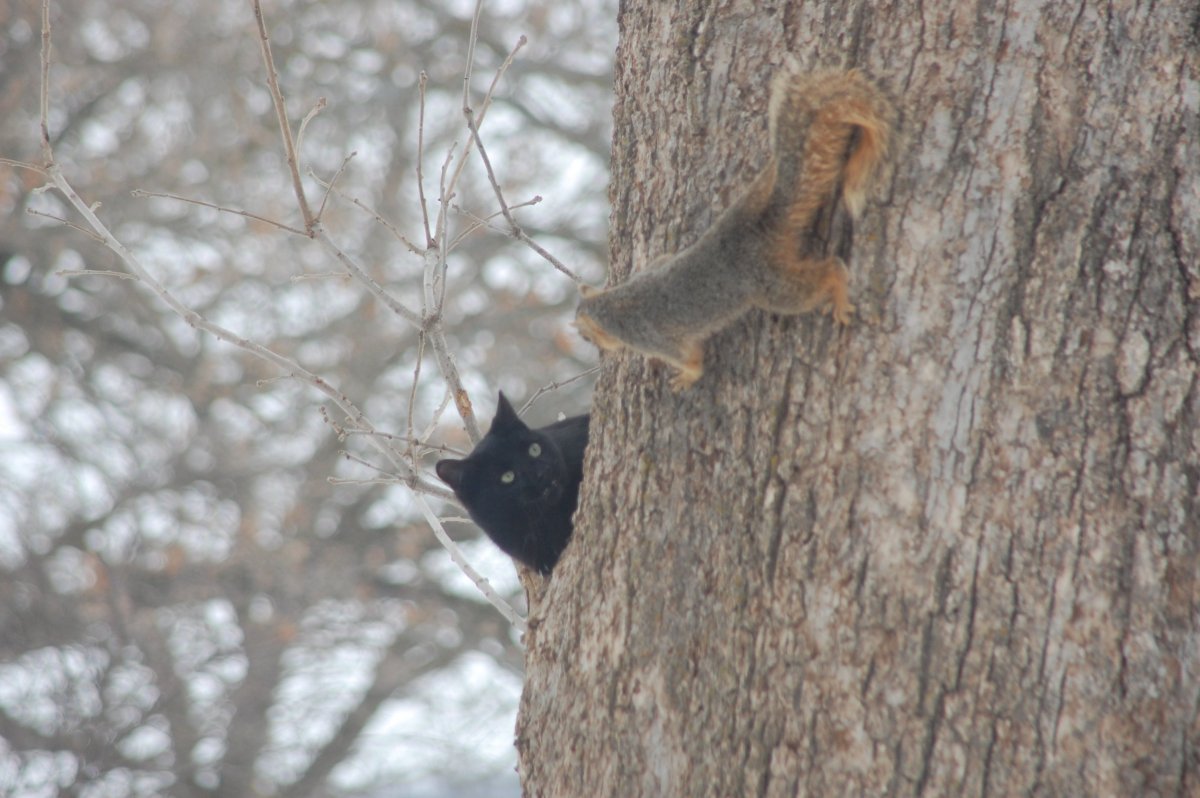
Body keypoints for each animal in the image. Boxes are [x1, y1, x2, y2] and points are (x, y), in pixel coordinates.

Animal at [575, 66, 897, 390]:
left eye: (586, 334)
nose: (589, 342)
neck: (609, 304)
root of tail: (756, 228)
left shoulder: (651, 339)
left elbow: (691, 359)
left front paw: (686, 377)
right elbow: (662, 260)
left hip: (773, 287)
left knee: (827, 272)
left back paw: (839, 293)